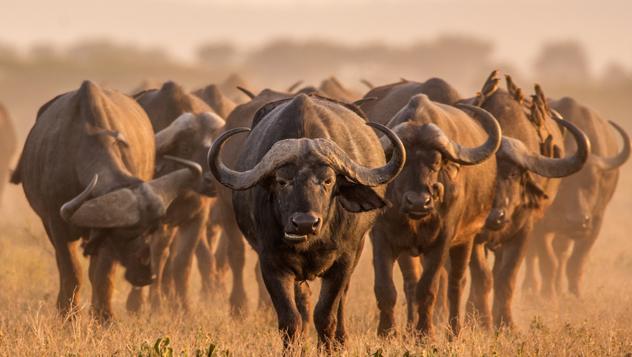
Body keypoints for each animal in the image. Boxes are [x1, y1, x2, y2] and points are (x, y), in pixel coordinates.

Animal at [11, 81, 201, 320]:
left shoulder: (104, 237)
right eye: (126, 234)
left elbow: (102, 275)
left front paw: (104, 317)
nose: (146, 274)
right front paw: (68, 315)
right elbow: (72, 272)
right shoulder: (57, 225)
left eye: (150, 230)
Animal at [207, 93, 404, 346]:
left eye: (328, 180)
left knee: (341, 300)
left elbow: (326, 315)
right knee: (303, 300)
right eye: (282, 181)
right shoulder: (271, 263)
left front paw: (329, 346)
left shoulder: (343, 261)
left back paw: (341, 339)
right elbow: (290, 319)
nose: (305, 223)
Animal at [466, 73, 592, 328]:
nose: (494, 216)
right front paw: (481, 321)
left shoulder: (524, 232)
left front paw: (506, 324)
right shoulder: (473, 234)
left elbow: (506, 276)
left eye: (514, 174)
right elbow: (482, 276)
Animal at [520, 96, 628, 296]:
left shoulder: (595, 222)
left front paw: (574, 293)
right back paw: (531, 286)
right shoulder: (539, 224)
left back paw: (558, 287)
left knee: (561, 251)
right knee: (533, 255)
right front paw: (547, 294)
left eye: (592, 183)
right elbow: (547, 260)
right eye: (562, 185)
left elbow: (576, 261)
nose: (577, 221)